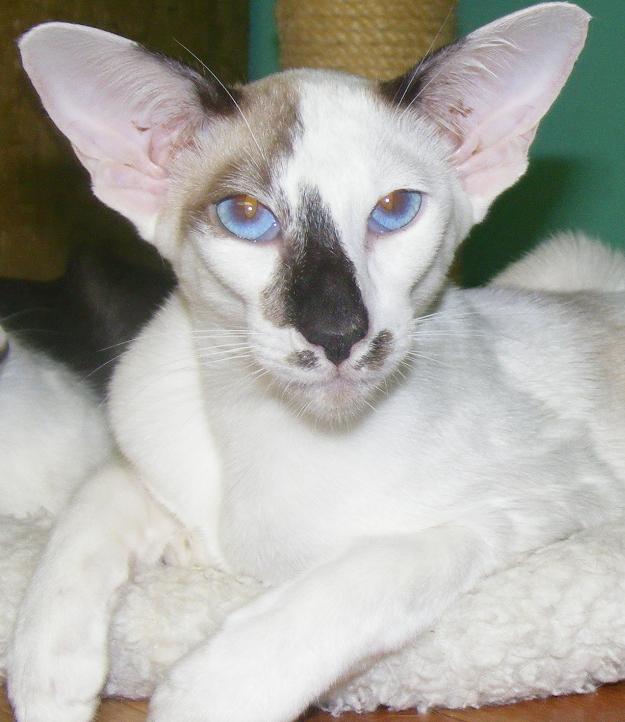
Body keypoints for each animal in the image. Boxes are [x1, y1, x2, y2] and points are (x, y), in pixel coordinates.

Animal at [8, 4, 623, 722]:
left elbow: (374, 571)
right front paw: (47, 677)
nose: (337, 332)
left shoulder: (551, 500)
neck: (266, 435)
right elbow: (90, 503)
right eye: (245, 215)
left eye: (395, 209)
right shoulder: (145, 460)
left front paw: (206, 694)